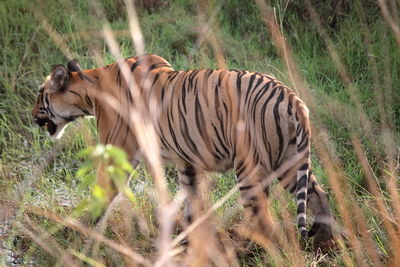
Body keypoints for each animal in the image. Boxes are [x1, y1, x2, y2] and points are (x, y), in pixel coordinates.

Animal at [32, 54, 334, 251]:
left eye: (39, 94)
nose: (31, 115)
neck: (91, 88)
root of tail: (292, 98)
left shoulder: (119, 155)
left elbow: (101, 196)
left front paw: (81, 234)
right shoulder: (187, 159)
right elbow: (192, 203)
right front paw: (189, 241)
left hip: (251, 168)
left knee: (266, 223)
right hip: (291, 161)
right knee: (319, 195)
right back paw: (327, 244)